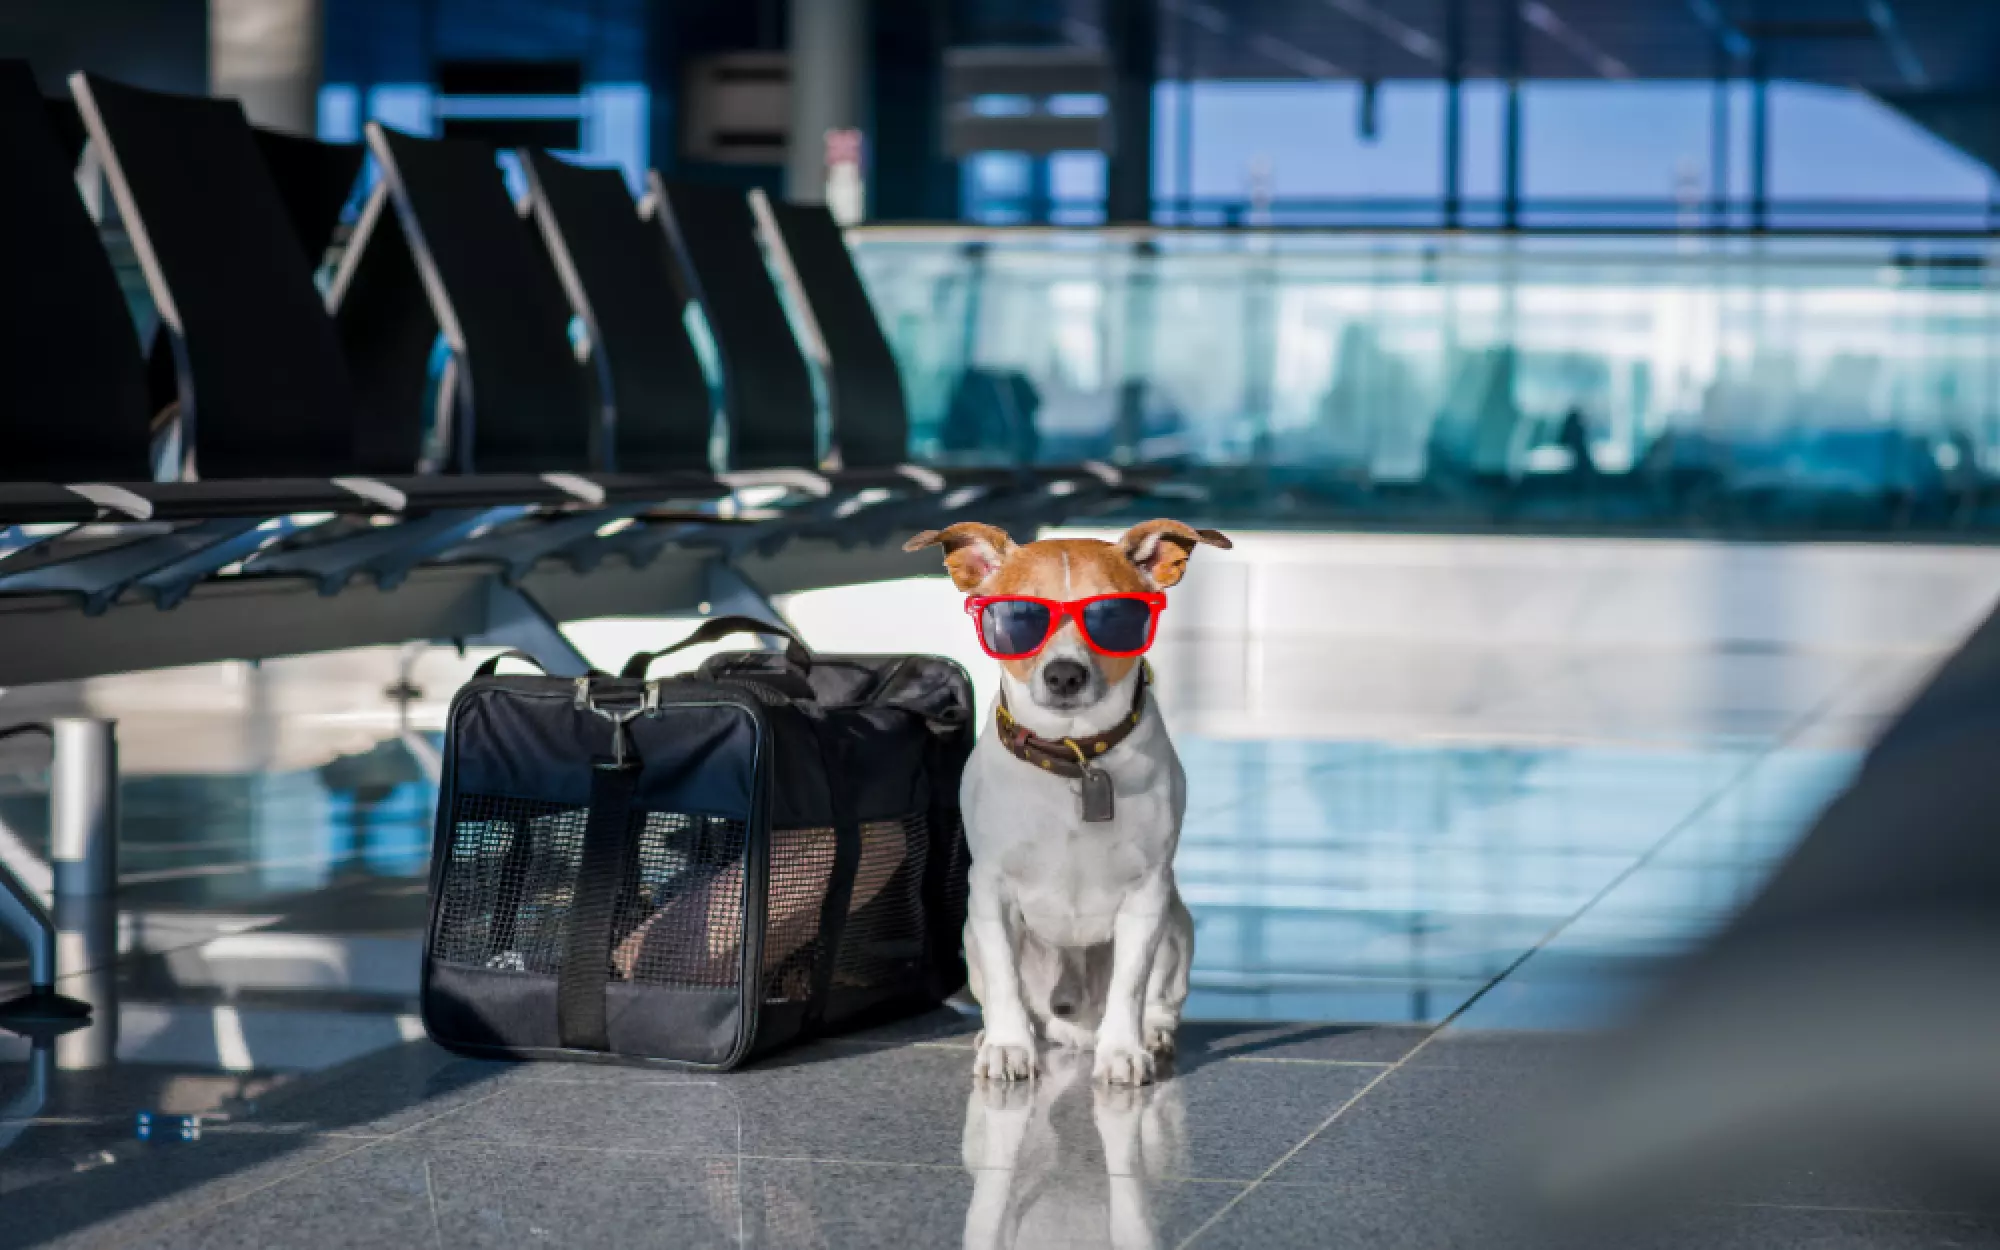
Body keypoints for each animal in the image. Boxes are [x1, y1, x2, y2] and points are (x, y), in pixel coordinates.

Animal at [900, 516, 1224, 1080]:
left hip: (1176, 927)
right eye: (1019, 617)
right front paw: (1008, 1045)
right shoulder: (990, 892)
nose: (1065, 674)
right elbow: (1005, 981)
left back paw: (1152, 1035)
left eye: (1113, 615)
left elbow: (1130, 986)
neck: (1074, 757)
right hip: (971, 937)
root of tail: (1074, 1030)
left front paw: (1123, 1051)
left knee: (1160, 998)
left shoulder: (1147, 895)